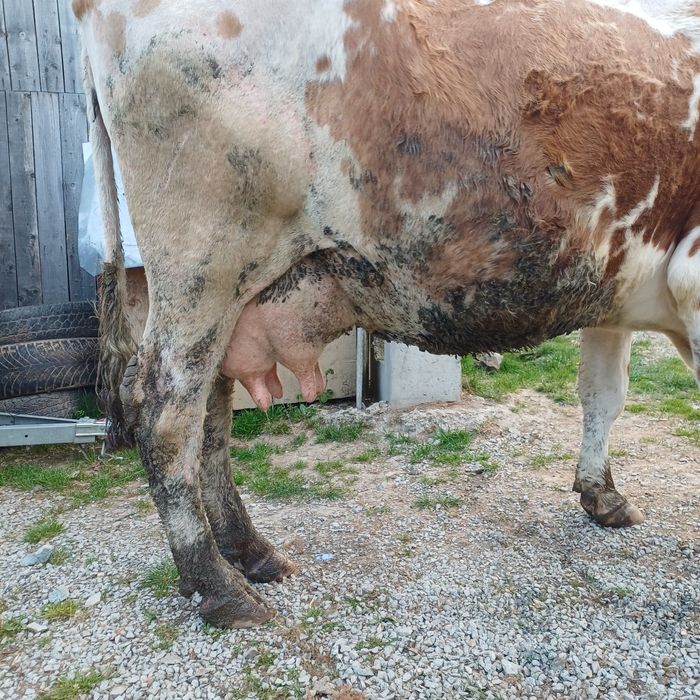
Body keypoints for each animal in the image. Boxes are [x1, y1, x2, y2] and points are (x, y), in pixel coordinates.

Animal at [74, 0, 700, 627]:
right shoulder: (690, 279)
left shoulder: (613, 291)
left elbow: (603, 394)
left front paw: (603, 494)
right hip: (203, 264)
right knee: (166, 415)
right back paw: (218, 587)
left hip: (228, 296)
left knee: (211, 414)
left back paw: (251, 552)